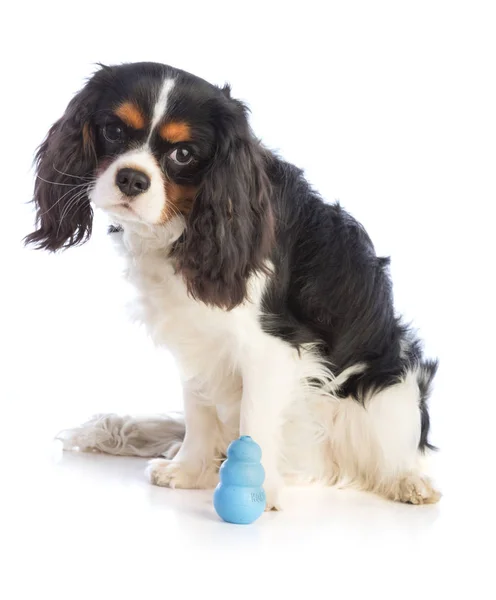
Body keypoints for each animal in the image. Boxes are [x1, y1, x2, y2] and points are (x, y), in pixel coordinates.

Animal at [26, 63, 442, 508]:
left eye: (183, 154)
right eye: (114, 131)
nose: (132, 179)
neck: (187, 224)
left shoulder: (270, 349)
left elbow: (254, 421)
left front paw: (254, 493)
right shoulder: (195, 341)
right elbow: (197, 409)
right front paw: (188, 470)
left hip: (390, 392)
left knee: (388, 452)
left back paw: (407, 480)